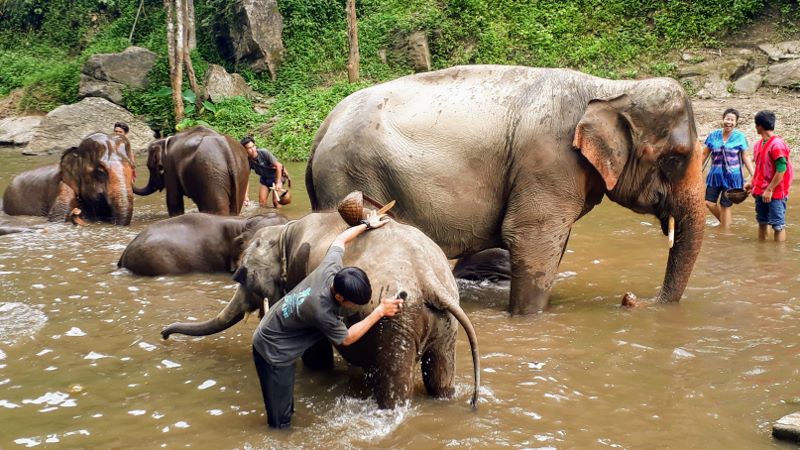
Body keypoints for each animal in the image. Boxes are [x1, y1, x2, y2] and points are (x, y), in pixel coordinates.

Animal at [162, 212, 480, 409]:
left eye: (243, 276)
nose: (164, 335)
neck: (285, 231)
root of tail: (427, 278)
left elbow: (316, 351)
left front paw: (317, 370)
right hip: (442, 320)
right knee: (440, 374)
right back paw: (444, 399)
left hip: (398, 323)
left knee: (395, 385)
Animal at [305, 65, 705, 314]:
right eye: (676, 158)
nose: (630, 298)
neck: (610, 88)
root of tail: (322, 128)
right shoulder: (548, 160)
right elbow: (531, 238)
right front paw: (529, 318)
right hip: (348, 174)